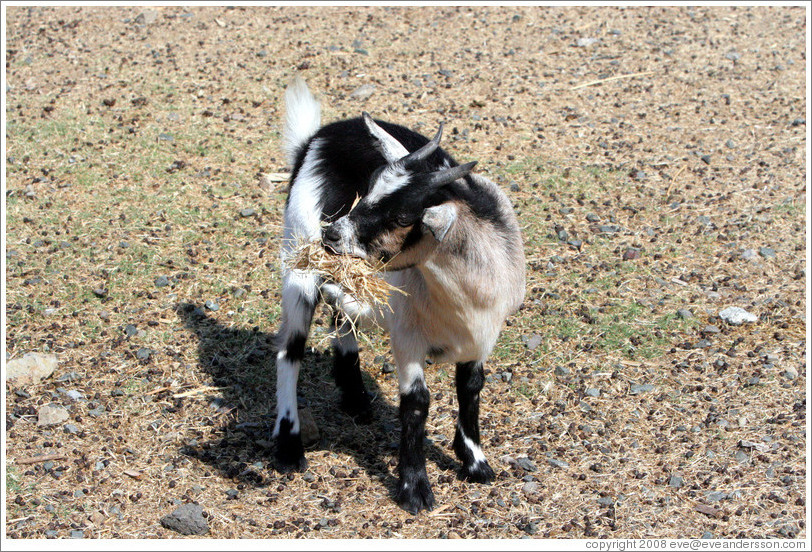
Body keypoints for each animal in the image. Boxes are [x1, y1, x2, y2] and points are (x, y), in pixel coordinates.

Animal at [274, 76, 525, 513]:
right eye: (370, 189)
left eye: (405, 216)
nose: (332, 234)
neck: (459, 304)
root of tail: (319, 136)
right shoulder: (408, 334)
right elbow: (416, 403)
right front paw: (415, 488)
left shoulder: (485, 333)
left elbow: (471, 387)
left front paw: (475, 462)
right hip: (298, 257)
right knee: (290, 351)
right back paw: (289, 448)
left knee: (340, 312)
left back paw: (356, 397)